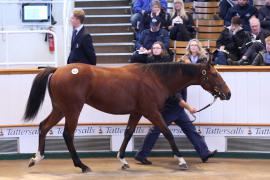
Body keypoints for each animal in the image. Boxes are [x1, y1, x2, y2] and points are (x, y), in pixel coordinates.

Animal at [23, 60, 231, 173]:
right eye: (215, 75)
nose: (228, 94)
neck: (155, 78)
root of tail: (57, 70)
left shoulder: (137, 112)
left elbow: (128, 133)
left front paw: (122, 160)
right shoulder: (151, 111)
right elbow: (167, 132)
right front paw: (181, 161)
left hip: (60, 109)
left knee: (43, 126)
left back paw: (36, 158)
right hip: (72, 109)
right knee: (67, 134)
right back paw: (81, 165)